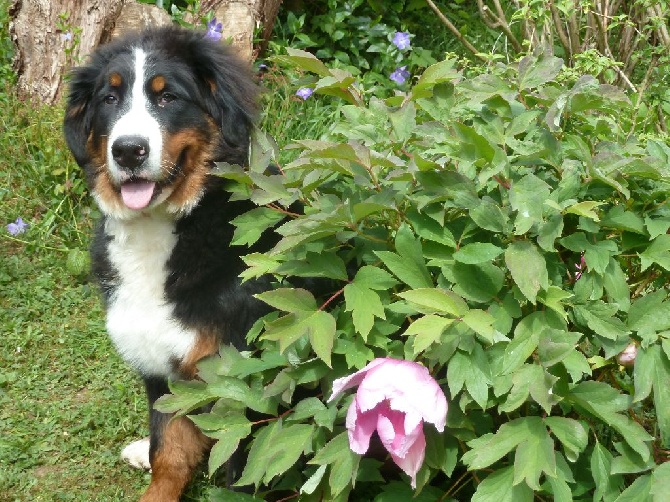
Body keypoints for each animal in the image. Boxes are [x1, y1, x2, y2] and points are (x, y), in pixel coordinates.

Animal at [63, 24, 278, 502]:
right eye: (110, 98)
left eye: (168, 98)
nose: (128, 151)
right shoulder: (162, 366)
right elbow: (170, 452)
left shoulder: (244, 383)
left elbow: (240, 475)